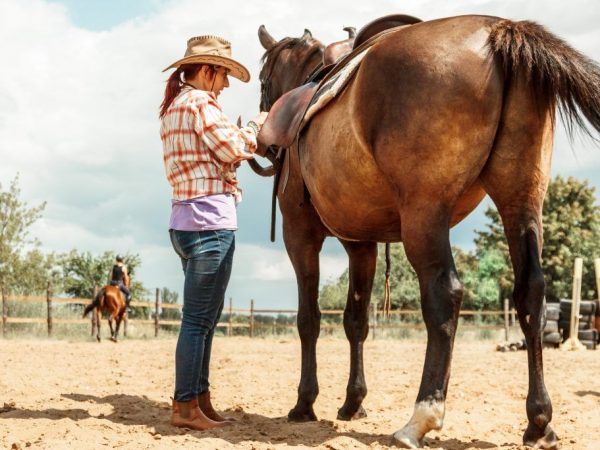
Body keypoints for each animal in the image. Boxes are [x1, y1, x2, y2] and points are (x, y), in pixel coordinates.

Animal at [255, 14, 600, 450]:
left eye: (262, 80)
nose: (267, 146)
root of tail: (499, 29)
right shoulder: (361, 244)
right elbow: (356, 321)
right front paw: (353, 403)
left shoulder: (300, 235)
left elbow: (309, 319)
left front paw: (304, 404)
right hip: (522, 201)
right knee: (531, 294)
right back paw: (539, 421)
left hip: (425, 214)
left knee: (444, 294)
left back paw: (420, 418)